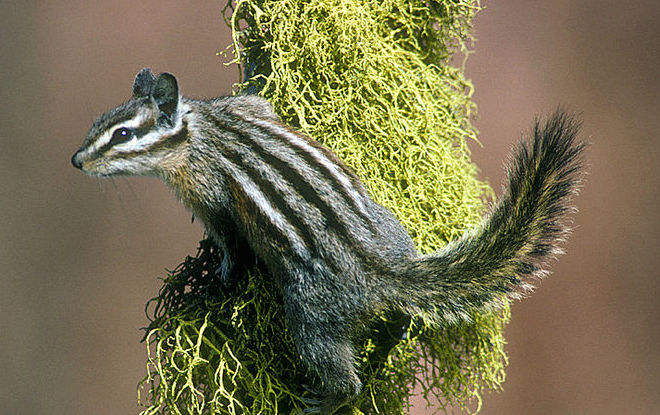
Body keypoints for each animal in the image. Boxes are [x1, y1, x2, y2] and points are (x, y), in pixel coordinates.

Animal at [72, 68, 585, 414]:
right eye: (98, 122)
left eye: (123, 134)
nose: (77, 161)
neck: (201, 128)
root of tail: (381, 268)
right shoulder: (246, 107)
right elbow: (262, 104)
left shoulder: (211, 193)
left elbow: (231, 241)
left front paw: (219, 277)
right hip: (390, 229)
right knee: (399, 319)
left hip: (311, 314)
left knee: (339, 371)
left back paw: (329, 398)